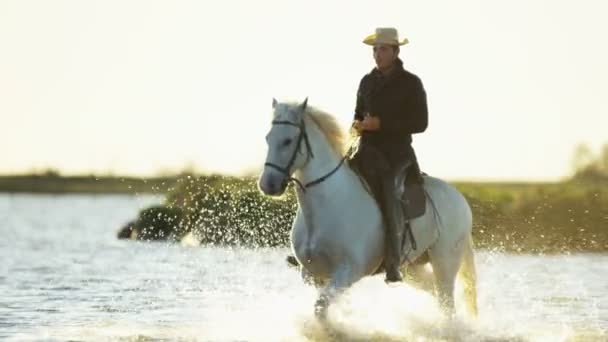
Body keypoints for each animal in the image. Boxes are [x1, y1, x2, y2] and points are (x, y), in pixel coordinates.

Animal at [258, 98, 478, 318]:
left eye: (288, 141)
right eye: (267, 138)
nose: (267, 184)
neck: (326, 205)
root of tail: (459, 198)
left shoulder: (348, 272)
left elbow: (320, 307)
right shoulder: (311, 272)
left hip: (445, 261)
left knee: (446, 303)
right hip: (412, 267)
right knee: (434, 291)